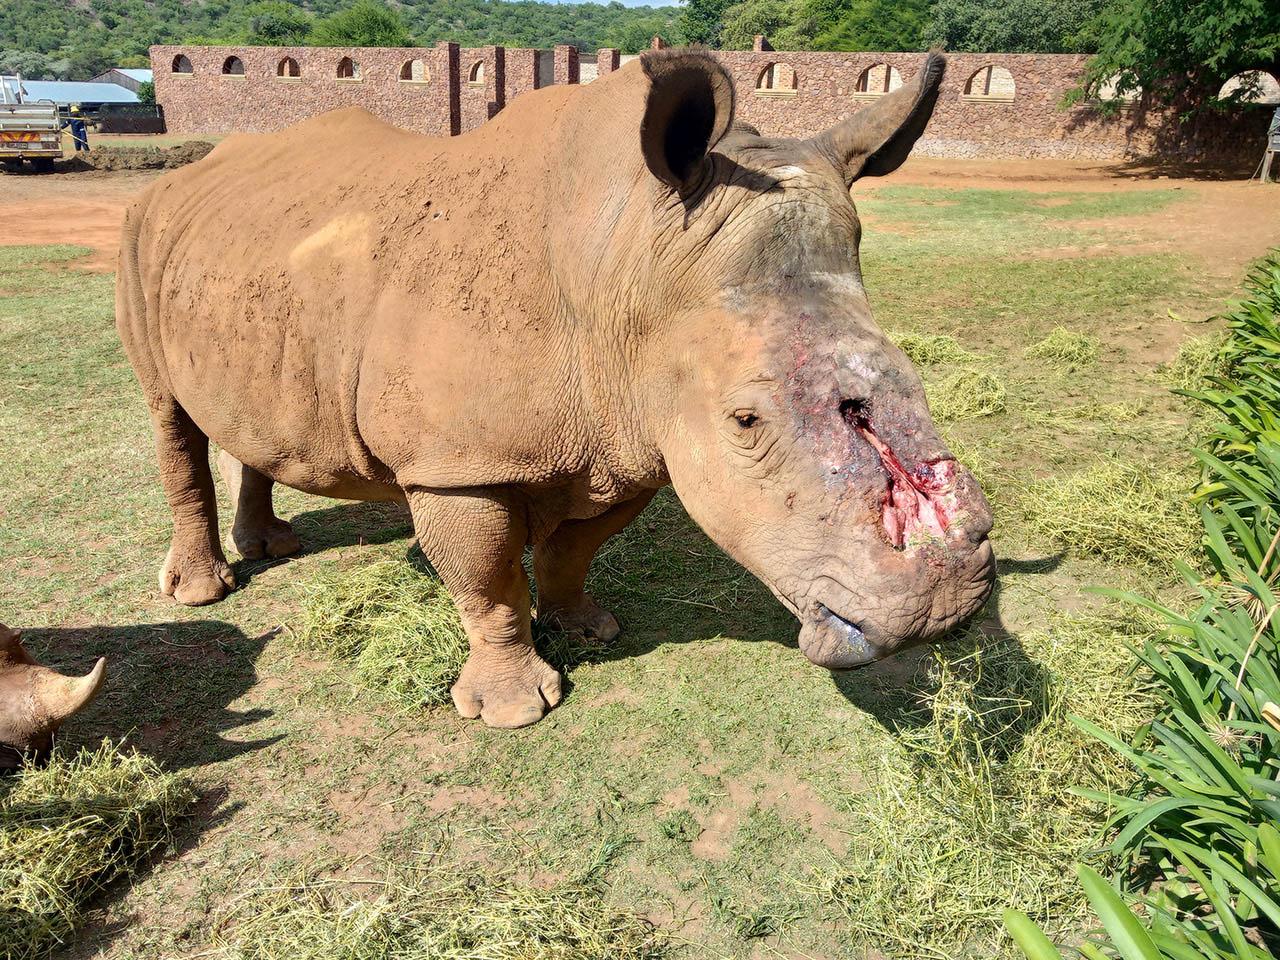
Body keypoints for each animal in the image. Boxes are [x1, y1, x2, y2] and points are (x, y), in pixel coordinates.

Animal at [116, 49, 994, 728]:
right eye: (746, 420)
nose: (943, 605)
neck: (627, 261)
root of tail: (188, 174)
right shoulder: (460, 464)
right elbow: (488, 578)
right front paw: (513, 709)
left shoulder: (631, 436)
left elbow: (575, 549)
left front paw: (589, 628)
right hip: (140, 233)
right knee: (167, 413)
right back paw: (201, 592)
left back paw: (272, 546)